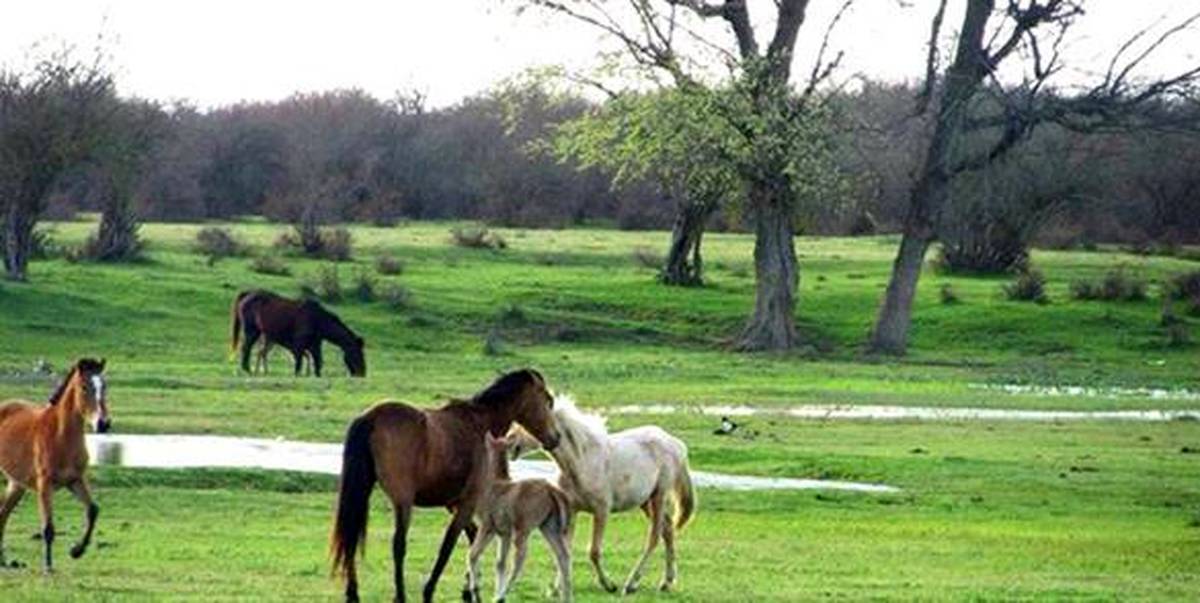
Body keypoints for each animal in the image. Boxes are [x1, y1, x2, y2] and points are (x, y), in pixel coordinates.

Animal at [0, 357, 112, 574]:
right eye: (84, 387)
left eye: (104, 386)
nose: (103, 423)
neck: (61, 435)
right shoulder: (45, 485)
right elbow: (48, 528)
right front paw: (48, 566)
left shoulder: (75, 480)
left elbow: (93, 510)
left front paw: (76, 550)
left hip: (16, 484)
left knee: (3, 514)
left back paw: (3, 560)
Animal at [230, 288, 364, 377]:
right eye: (357, 353)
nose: (362, 373)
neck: (317, 319)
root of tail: (247, 294)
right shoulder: (299, 344)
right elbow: (299, 361)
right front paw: (297, 374)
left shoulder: (315, 344)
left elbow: (318, 360)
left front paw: (316, 375)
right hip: (252, 331)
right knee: (246, 348)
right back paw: (247, 369)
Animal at [331, 367, 564, 603]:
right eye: (548, 400)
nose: (556, 438)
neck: (479, 425)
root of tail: (370, 417)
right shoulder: (468, 503)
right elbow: (449, 546)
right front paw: (430, 591)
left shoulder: (454, 504)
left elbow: (472, 541)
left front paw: (470, 589)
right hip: (403, 502)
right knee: (398, 544)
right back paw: (400, 595)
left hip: (363, 491)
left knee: (351, 538)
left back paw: (353, 593)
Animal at [506, 393, 696, 595]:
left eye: (532, 418)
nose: (509, 443)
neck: (581, 461)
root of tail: (675, 444)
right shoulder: (572, 510)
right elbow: (565, 550)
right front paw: (557, 589)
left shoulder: (602, 511)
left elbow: (594, 551)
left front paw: (609, 585)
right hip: (645, 501)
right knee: (668, 529)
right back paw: (666, 582)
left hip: (659, 495)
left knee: (654, 537)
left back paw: (631, 584)